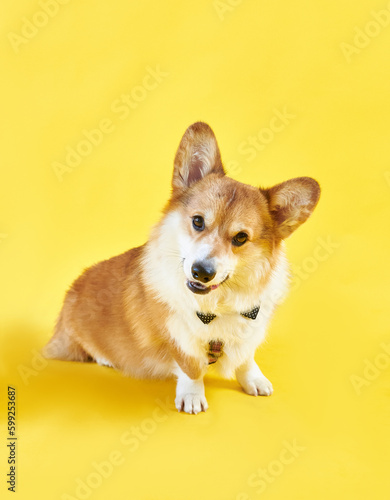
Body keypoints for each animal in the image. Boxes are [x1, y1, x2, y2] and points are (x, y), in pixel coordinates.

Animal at [44, 122, 322, 414]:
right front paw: (192, 397)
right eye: (198, 221)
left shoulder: (251, 326)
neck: (217, 305)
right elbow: (192, 369)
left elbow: (246, 358)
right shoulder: (178, 338)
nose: (202, 272)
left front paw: (254, 380)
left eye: (241, 238)